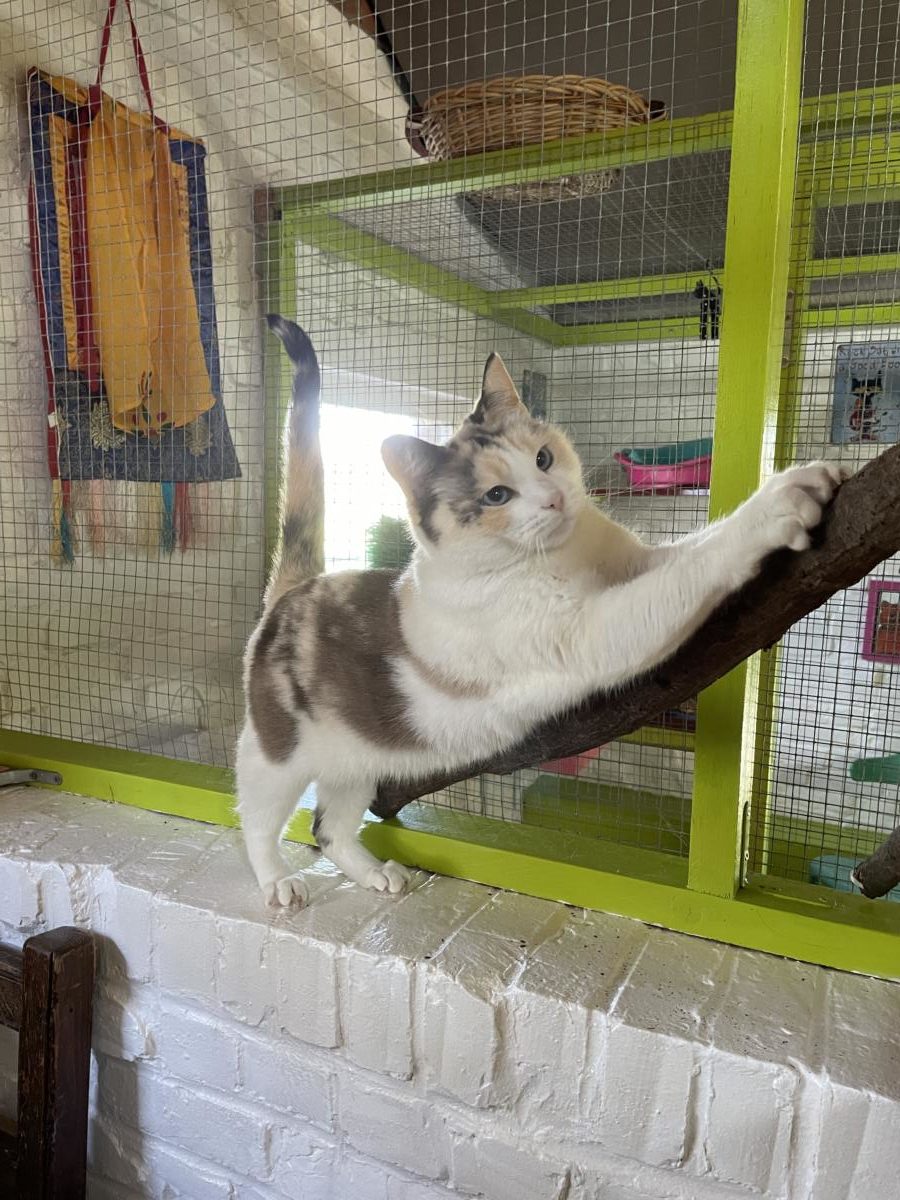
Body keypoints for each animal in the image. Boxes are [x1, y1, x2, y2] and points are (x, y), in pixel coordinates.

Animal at [237, 315, 844, 907]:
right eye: (496, 496)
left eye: (544, 458)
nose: (553, 498)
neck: (568, 555)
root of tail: (297, 588)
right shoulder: (589, 633)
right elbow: (694, 567)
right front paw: (775, 506)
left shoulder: (637, 564)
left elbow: (692, 546)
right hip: (276, 757)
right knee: (258, 821)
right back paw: (276, 882)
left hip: (363, 758)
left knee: (331, 827)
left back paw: (373, 874)